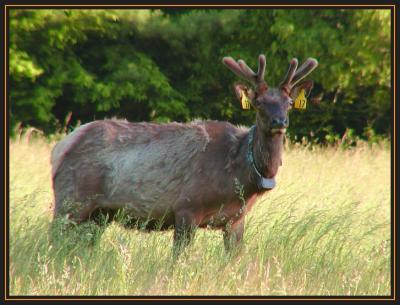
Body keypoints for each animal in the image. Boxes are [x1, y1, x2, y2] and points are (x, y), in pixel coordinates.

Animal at [50, 54, 318, 254]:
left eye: (289, 103)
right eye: (259, 102)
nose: (279, 121)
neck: (237, 173)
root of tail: (60, 147)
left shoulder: (236, 220)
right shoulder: (186, 207)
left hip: (99, 214)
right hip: (70, 201)